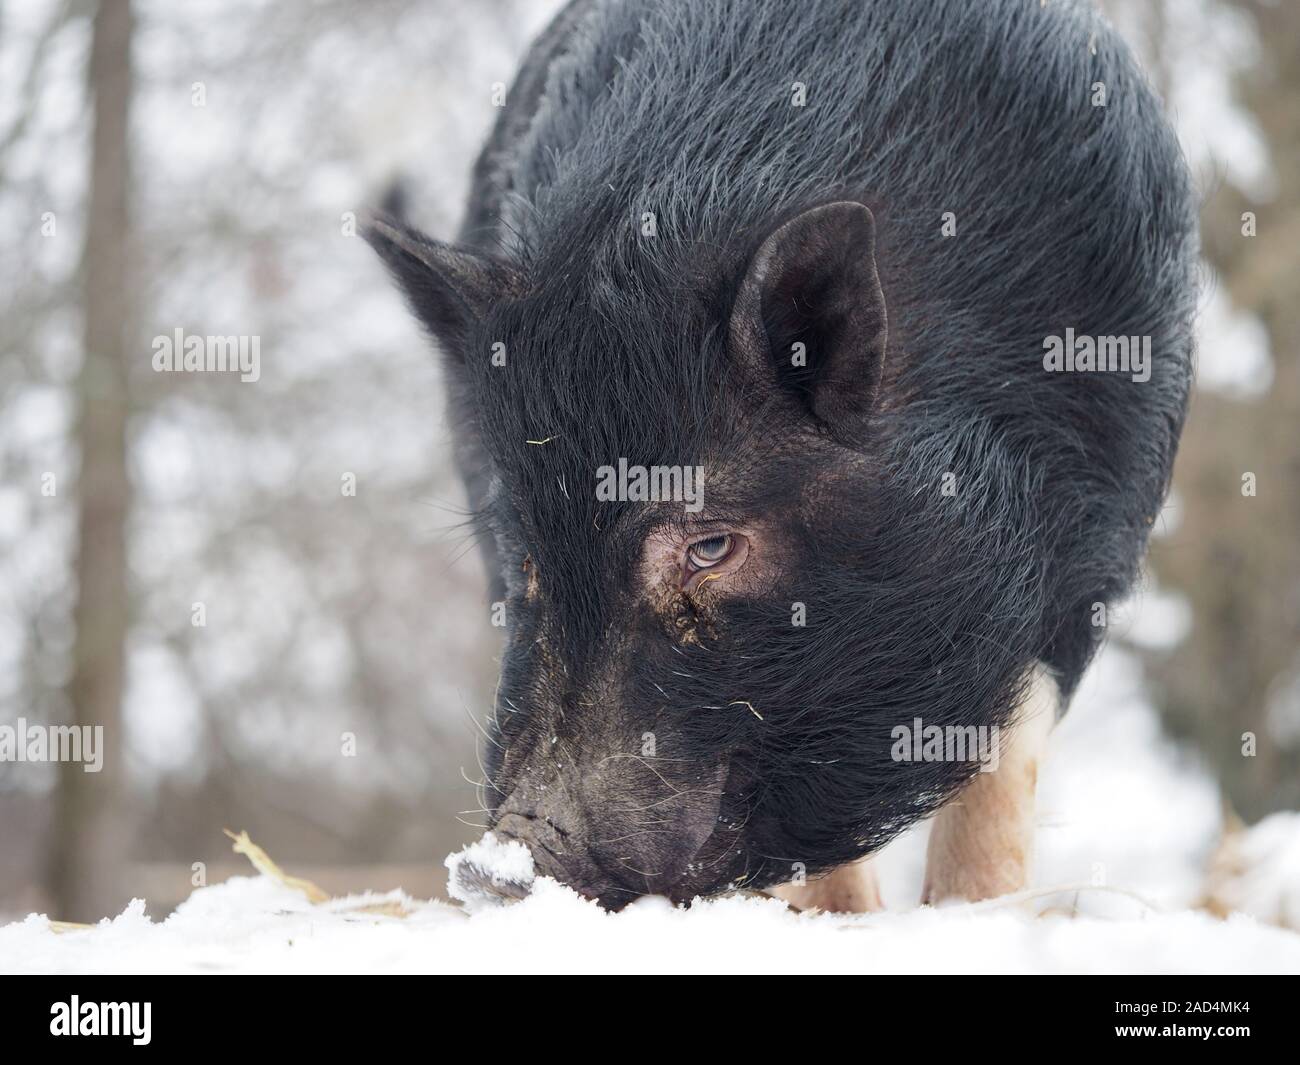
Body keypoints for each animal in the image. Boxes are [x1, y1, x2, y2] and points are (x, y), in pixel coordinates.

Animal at [366, 0, 1196, 910]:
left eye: (711, 543)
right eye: (530, 553)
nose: (497, 864)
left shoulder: (1091, 542)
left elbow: (1002, 771)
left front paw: (970, 911)